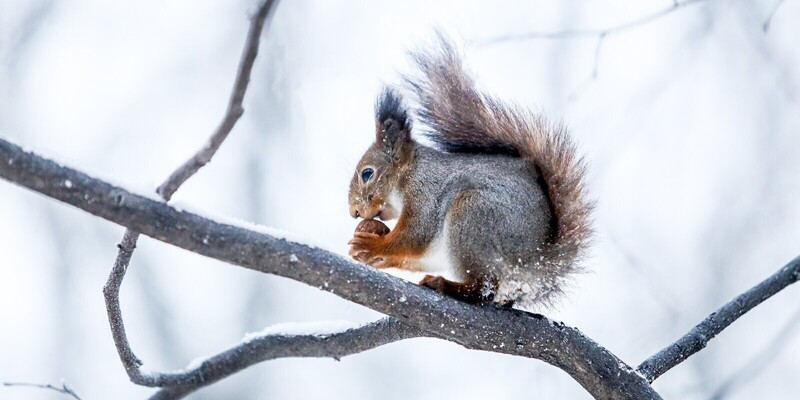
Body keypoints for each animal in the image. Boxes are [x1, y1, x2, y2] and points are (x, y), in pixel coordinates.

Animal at [346, 36, 592, 308]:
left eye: (367, 174)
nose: (354, 212)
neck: (409, 173)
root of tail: (536, 262)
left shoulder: (424, 192)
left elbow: (414, 236)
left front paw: (374, 246)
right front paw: (371, 241)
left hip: (473, 217)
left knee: (484, 287)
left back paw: (446, 285)